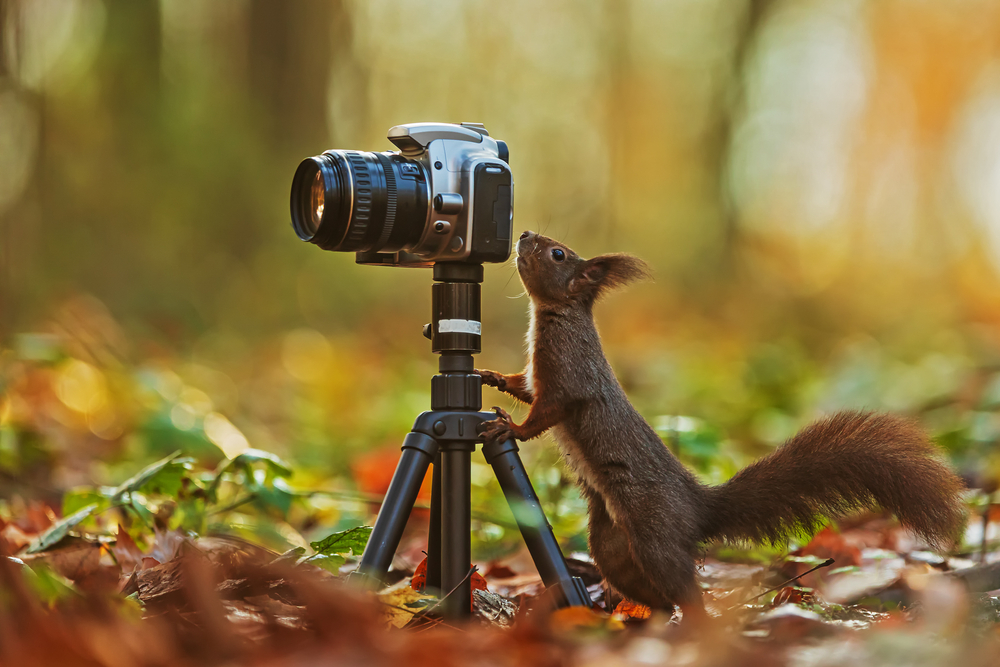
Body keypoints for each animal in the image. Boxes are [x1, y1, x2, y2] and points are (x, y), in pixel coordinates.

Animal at [476, 232, 968, 620]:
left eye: (557, 254)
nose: (524, 234)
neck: (555, 316)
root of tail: (698, 508)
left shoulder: (569, 376)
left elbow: (547, 411)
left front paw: (509, 429)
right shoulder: (539, 376)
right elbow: (524, 387)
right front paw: (492, 377)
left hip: (654, 535)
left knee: (684, 592)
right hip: (613, 545)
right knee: (655, 596)